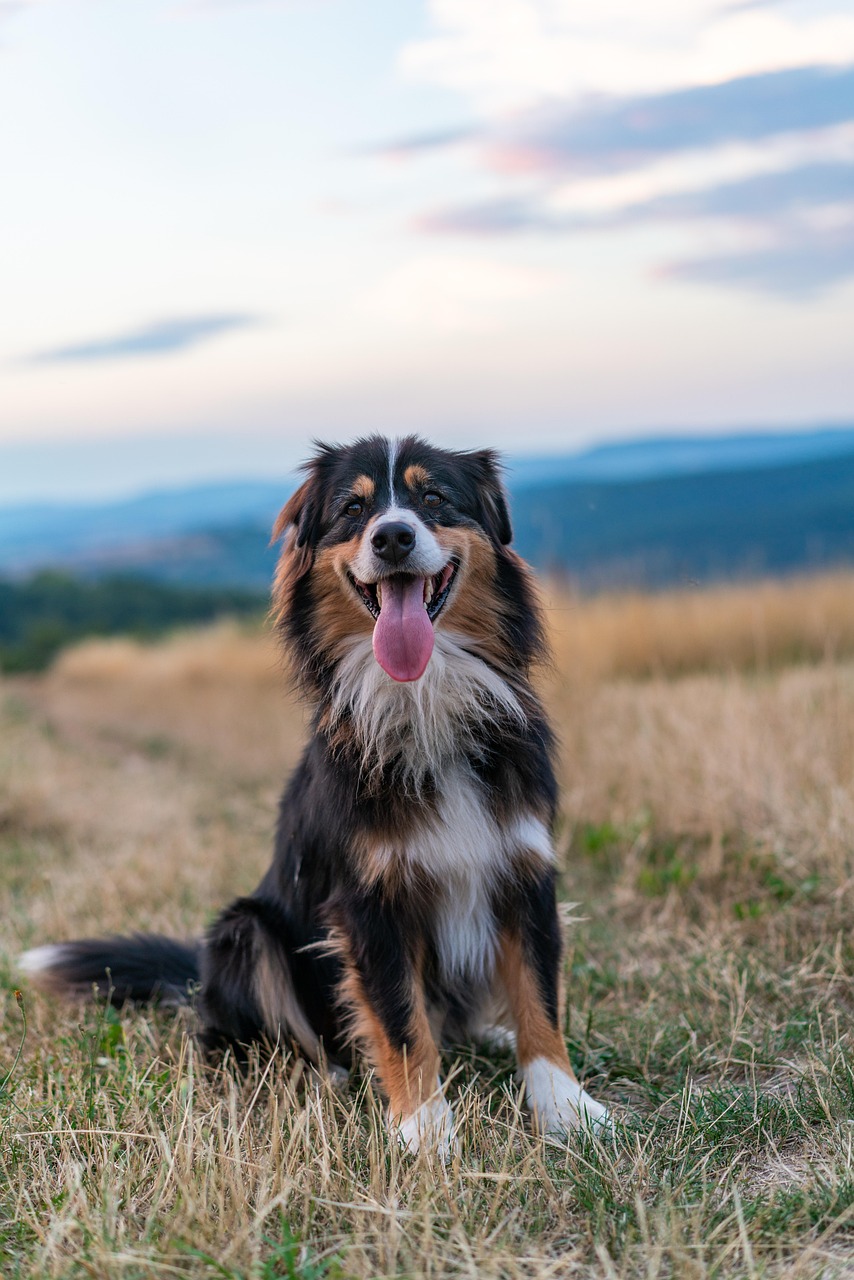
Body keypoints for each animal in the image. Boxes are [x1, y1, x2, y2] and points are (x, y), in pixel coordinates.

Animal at [18, 435, 606, 1157]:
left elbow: (539, 999)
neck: (425, 702)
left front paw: (567, 1110)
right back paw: (324, 1075)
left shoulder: (524, 871)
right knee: (250, 1042)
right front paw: (424, 1131)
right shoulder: (370, 900)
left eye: (434, 497)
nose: (392, 536)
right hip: (244, 932)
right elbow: (402, 1021)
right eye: (353, 508)